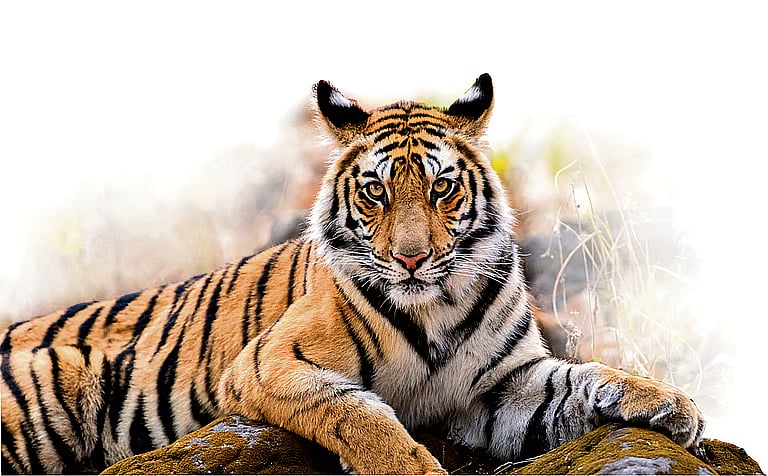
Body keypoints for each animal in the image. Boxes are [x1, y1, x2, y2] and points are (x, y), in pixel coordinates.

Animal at [1, 74, 705, 475]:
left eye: (443, 187)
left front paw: (671, 405)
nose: (412, 258)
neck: (437, 305)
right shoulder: (271, 363)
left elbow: (585, 377)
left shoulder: (502, 388)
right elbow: (361, 416)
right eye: (375, 193)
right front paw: (413, 469)